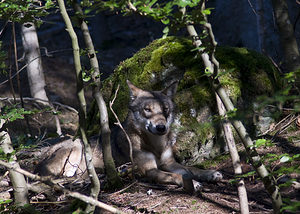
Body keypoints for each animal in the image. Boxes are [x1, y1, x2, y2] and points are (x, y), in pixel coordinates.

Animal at [35, 80, 223, 191]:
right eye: (147, 110)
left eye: (165, 109)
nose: (161, 127)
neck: (155, 145)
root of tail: (36, 164)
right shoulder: (150, 170)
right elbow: (177, 176)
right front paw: (194, 183)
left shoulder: (169, 162)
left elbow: (191, 169)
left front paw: (210, 174)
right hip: (76, 149)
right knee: (67, 177)